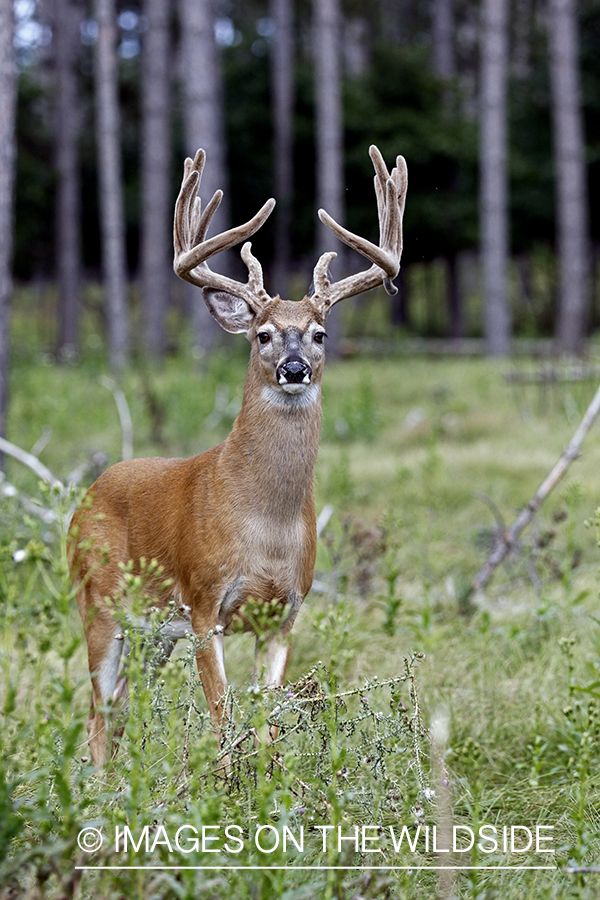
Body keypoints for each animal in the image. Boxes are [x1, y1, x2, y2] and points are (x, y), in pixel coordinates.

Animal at [70, 142, 408, 768]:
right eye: (263, 334)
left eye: (320, 333)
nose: (294, 369)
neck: (264, 525)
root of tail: (83, 499)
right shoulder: (205, 603)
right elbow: (223, 718)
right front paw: (226, 784)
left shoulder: (284, 613)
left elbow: (267, 720)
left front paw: (269, 783)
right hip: (98, 604)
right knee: (98, 716)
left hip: (151, 632)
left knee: (123, 707)